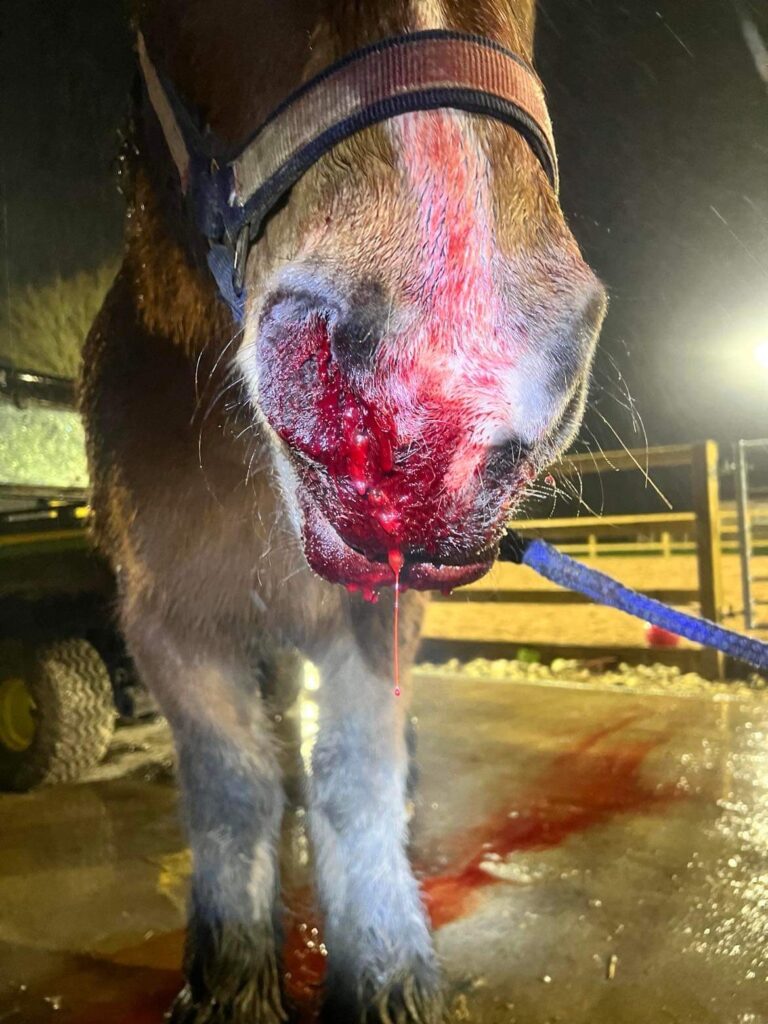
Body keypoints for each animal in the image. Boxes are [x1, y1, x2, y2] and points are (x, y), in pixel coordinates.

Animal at [80, 1, 606, 1020]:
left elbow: (355, 774)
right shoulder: (165, 625)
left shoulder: (377, 610)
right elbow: (234, 786)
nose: (450, 387)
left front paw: (385, 968)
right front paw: (232, 981)